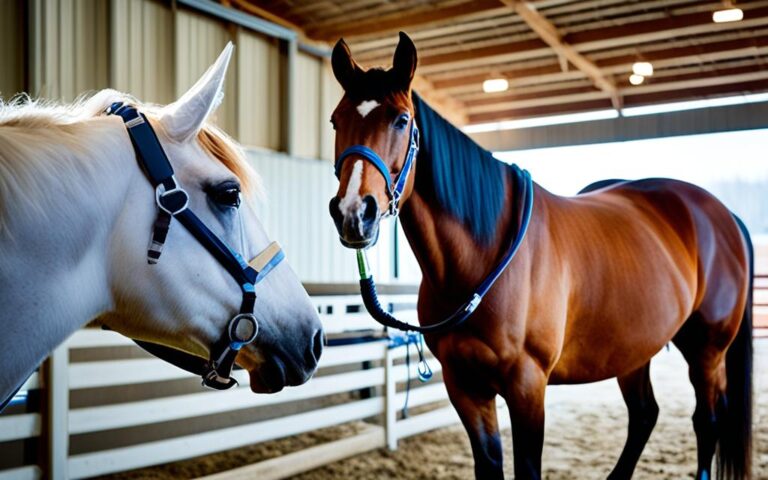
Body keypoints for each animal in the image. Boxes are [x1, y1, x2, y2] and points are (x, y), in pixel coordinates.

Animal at [327, 33, 752, 480]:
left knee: (706, 421)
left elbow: (528, 468)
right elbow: (488, 463)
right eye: (336, 121)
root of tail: (723, 215)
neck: (482, 256)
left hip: (707, 350)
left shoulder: (527, 386)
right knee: (644, 415)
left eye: (401, 119)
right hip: (635, 348)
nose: (354, 212)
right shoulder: (465, 386)